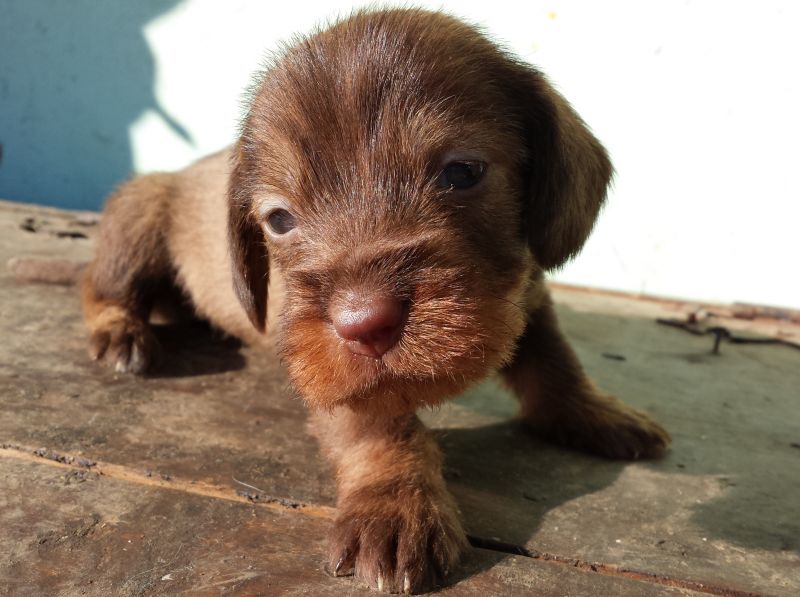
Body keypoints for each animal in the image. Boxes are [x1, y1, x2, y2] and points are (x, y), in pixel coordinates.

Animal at [81, 8, 668, 592]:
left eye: (462, 172)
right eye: (279, 219)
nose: (363, 324)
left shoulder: (529, 291)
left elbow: (555, 361)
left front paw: (593, 410)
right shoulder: (330, 369)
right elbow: (380, 429)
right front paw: (395, 501)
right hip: (137, 215)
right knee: (102, 285)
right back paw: (120, 330)